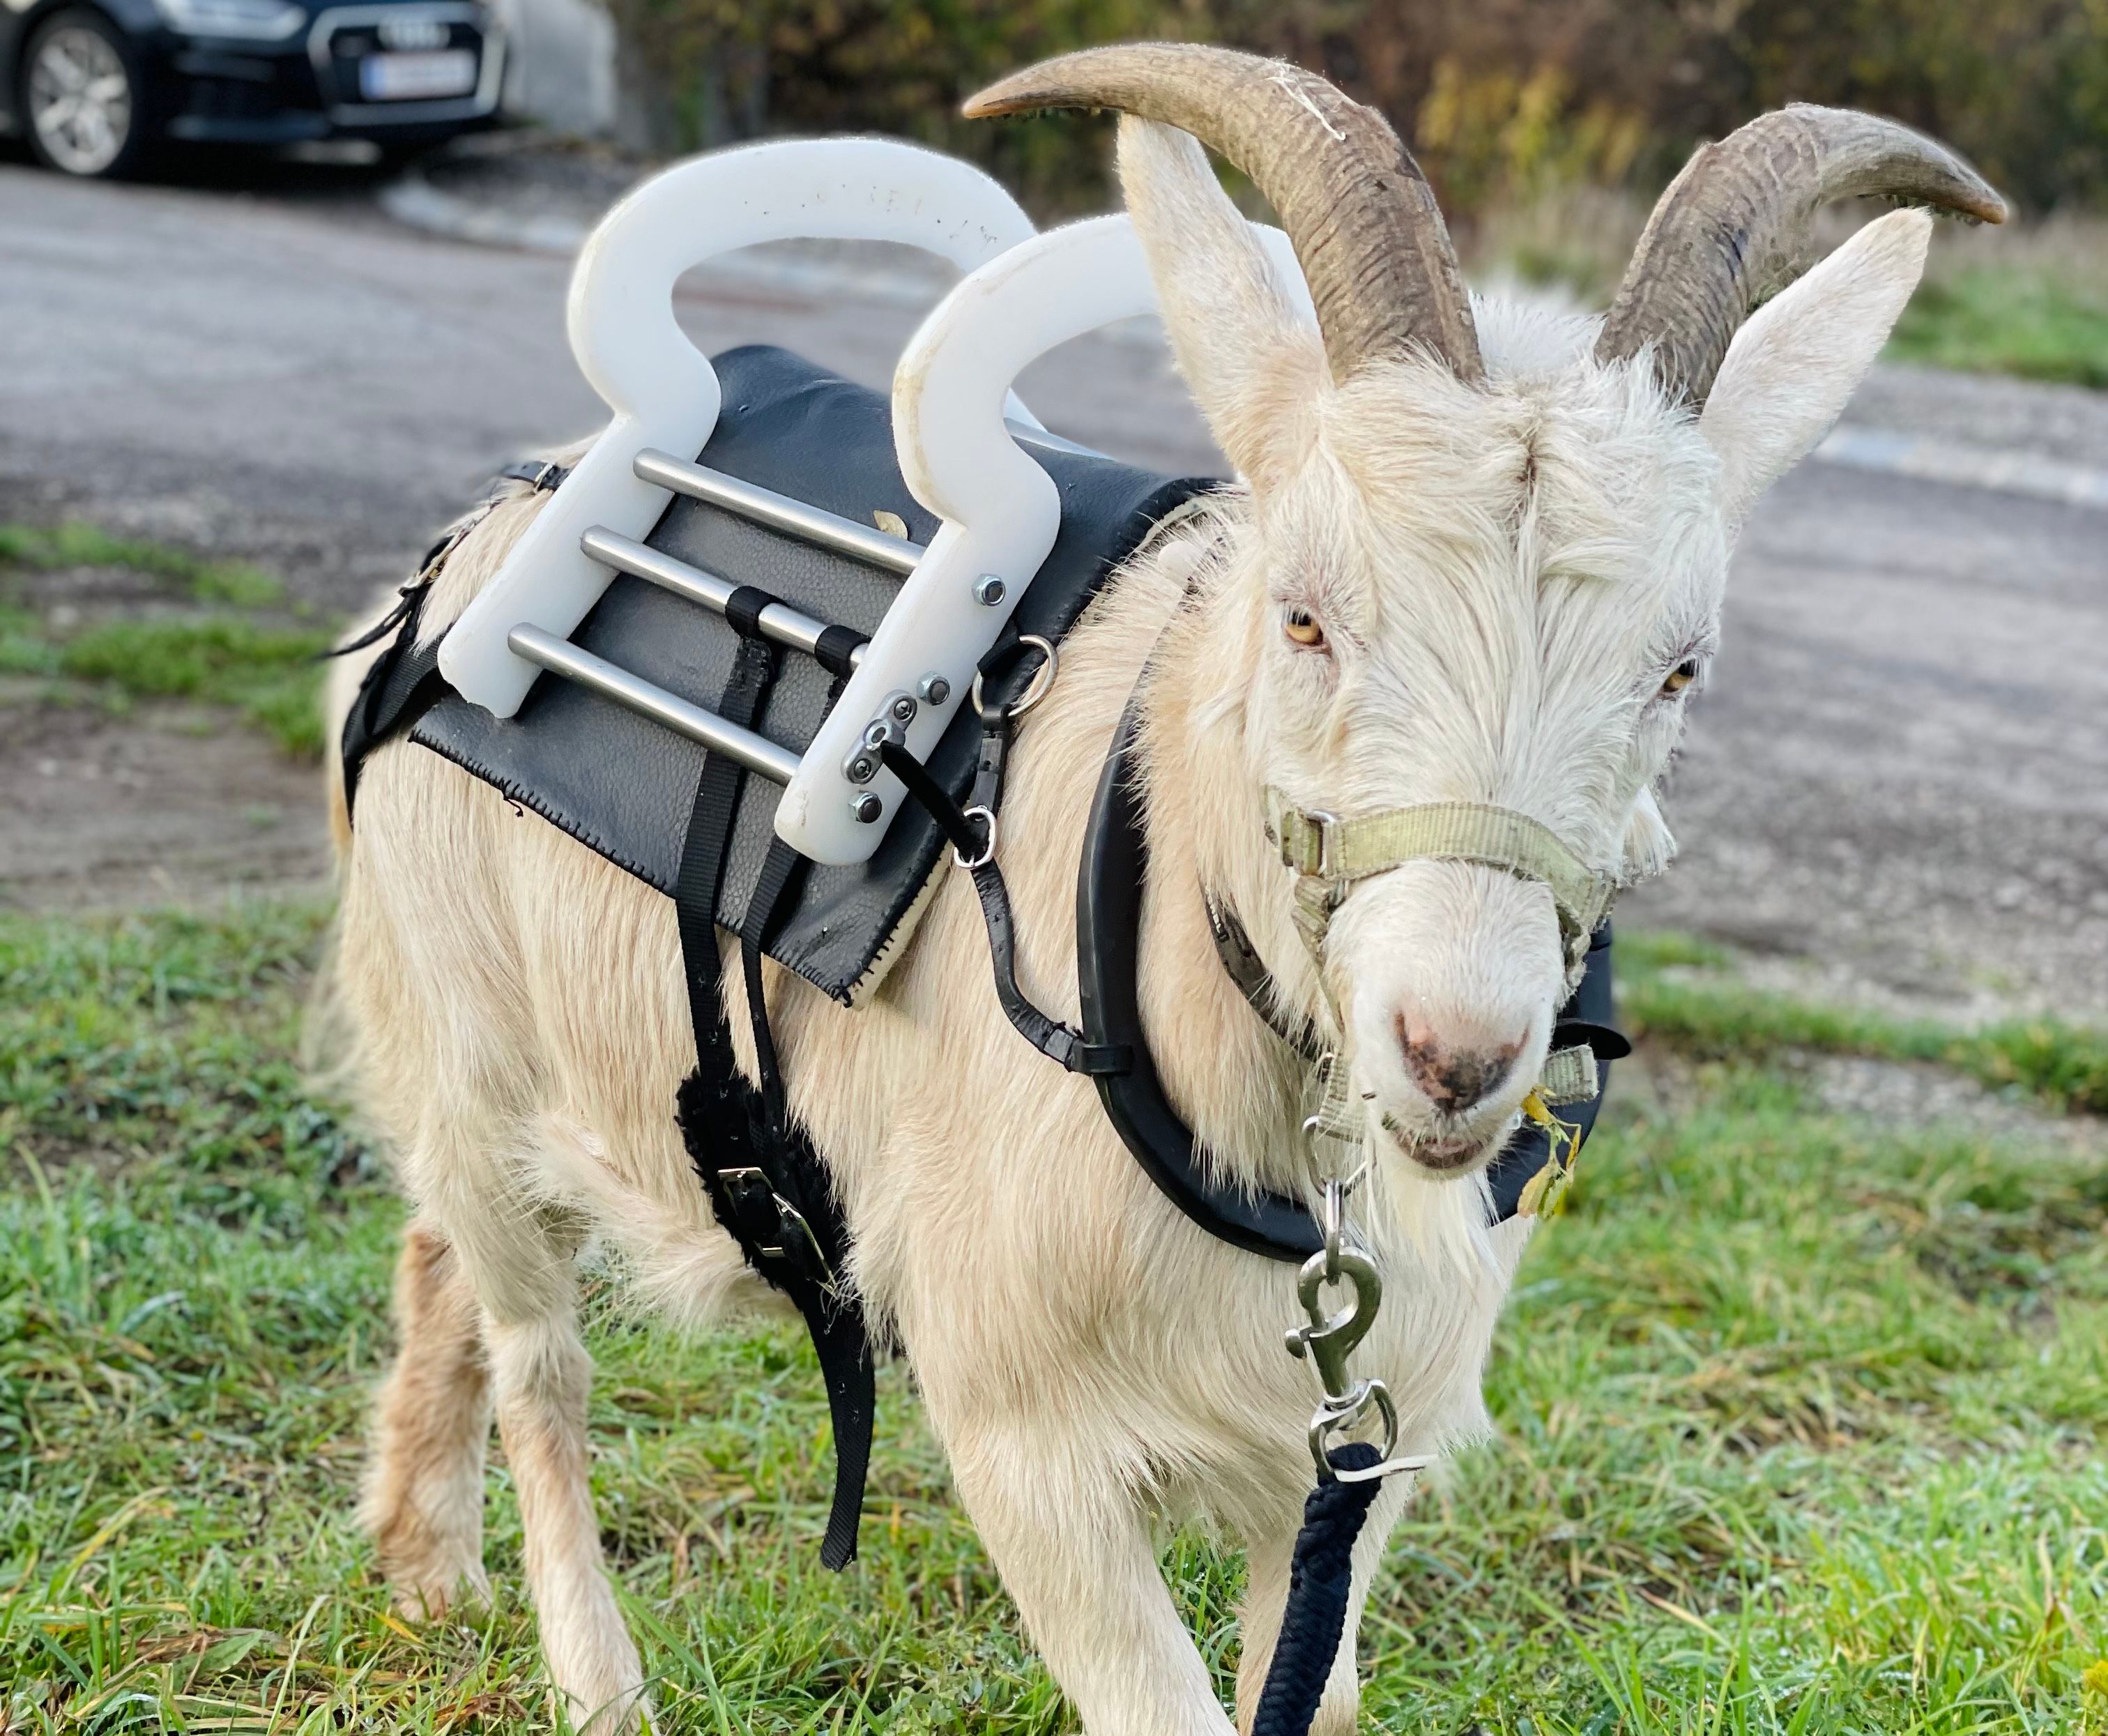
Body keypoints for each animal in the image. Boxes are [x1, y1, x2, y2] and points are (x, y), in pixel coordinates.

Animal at [323, 43, 2002, 1736]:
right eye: (1304, 615)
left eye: (1678, 669)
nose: (1452, 1055)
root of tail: (499, 517)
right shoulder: (1025, 1435)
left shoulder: (1350, 1458)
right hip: (464, 1044)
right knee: (536, 1353)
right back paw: (594, 1676)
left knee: (434, 1257)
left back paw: (422, 1566)